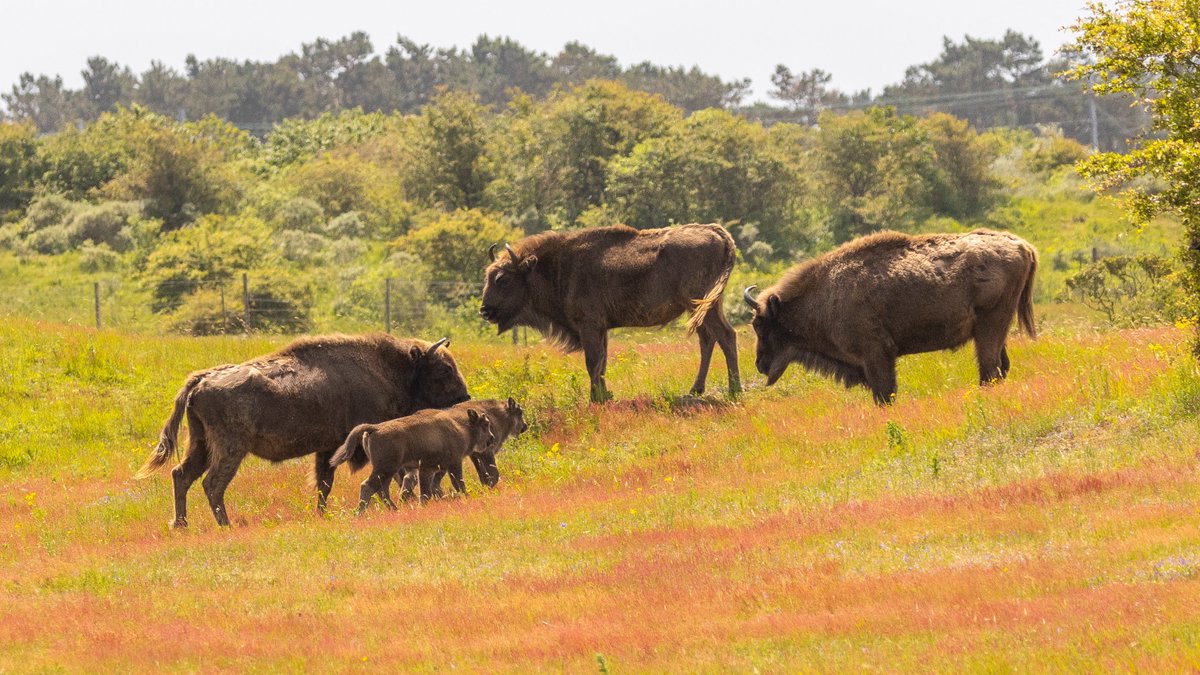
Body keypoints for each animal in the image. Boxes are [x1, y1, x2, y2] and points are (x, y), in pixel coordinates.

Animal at [134, 334, 469, 527]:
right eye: (444, 369)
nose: (464, 397)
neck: (392, 368)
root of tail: (201, 379)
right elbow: (390, 476)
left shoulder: (328, 448)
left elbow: (324, 483)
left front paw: (322, 514)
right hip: (230, 448)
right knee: (212, 483)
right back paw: (225, 524)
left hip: (201, 443)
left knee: (182, 475)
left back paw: (181, 524)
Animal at [329, 407, 496, 513]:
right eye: (485, 424)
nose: (491, 438)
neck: (459, 427)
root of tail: (375, 428)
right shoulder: (454, 465)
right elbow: (458, 485)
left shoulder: (428, 469)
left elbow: (426, 492)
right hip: (385, 469)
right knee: (368, 486)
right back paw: (361, 513)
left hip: (387, 471)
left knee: (382, 490)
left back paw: (394, 509)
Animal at [479, 223, 740, 402]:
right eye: (487, 277)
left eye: (502, 279)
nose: (484, 310)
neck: (555, 268)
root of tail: (716, 232)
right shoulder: (601, 328)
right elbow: (601, 363)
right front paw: (605, 395)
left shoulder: (589, 326)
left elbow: (593, 362)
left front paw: (595, 398)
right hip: (703, 306)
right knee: (708, 339)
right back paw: (696, 389)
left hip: (702, 306)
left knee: (725, 336)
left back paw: (734, 389)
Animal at [744, 229, 1037, 405]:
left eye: (759, 324)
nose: (759, 363)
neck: (824, 294)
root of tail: (1022, 245)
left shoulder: (876, 355)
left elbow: (884, 394)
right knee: (999, 368)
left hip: (989, 328)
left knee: (989, 371)